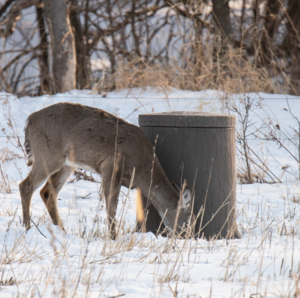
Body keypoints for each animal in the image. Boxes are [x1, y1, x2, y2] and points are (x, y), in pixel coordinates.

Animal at [19, 103, 192, 239]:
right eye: (189, 218)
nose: (185, 236)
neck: (142, 166)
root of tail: (29, 121)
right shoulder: (110, 167)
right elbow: (111, 207)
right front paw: (113, 238)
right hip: (48, 156)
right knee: (25, 186)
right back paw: (27, 227)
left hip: (67, 163)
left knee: (47, 192)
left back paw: (62, 231)